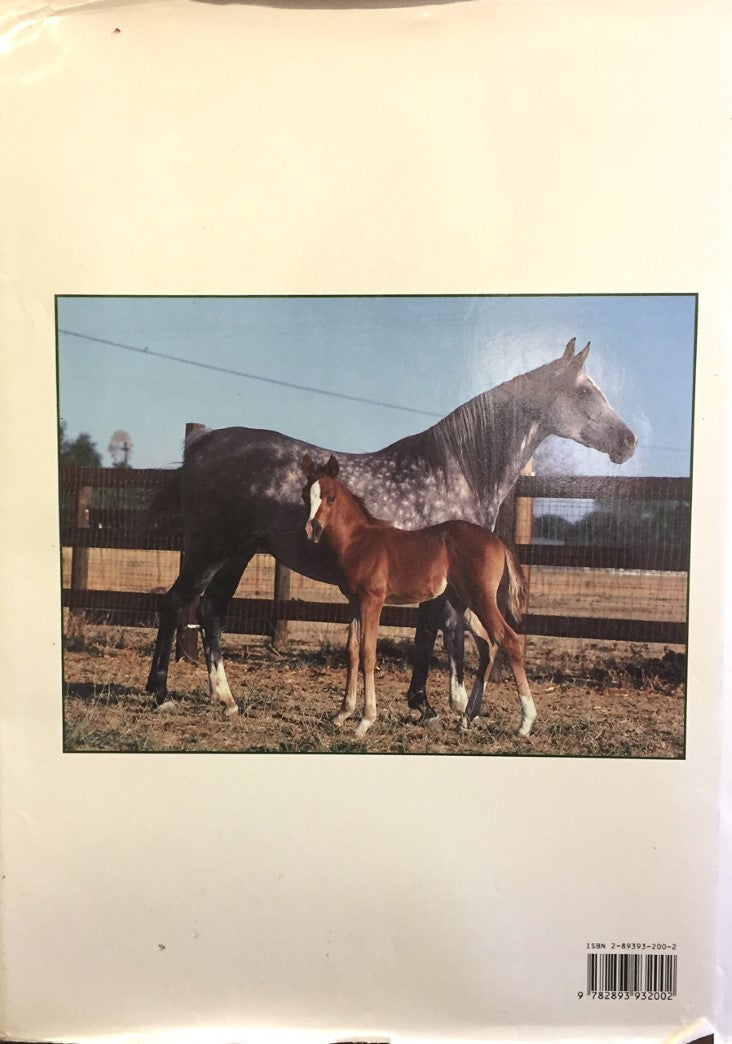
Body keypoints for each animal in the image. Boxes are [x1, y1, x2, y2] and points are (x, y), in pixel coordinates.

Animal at [301, 454, 535, 739]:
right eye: (305, 496)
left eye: (331, 497)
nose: (312, 529)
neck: (359, 541)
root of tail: (498, 540)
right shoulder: (354, 603)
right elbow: (352, 651)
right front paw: (342, 714)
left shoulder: (372, 601)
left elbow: (368, 652)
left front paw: (365, 721)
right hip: (465, 603)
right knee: (487, 645)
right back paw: (467, 718)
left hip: (482, 599)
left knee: (508, 640)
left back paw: (525, 722)